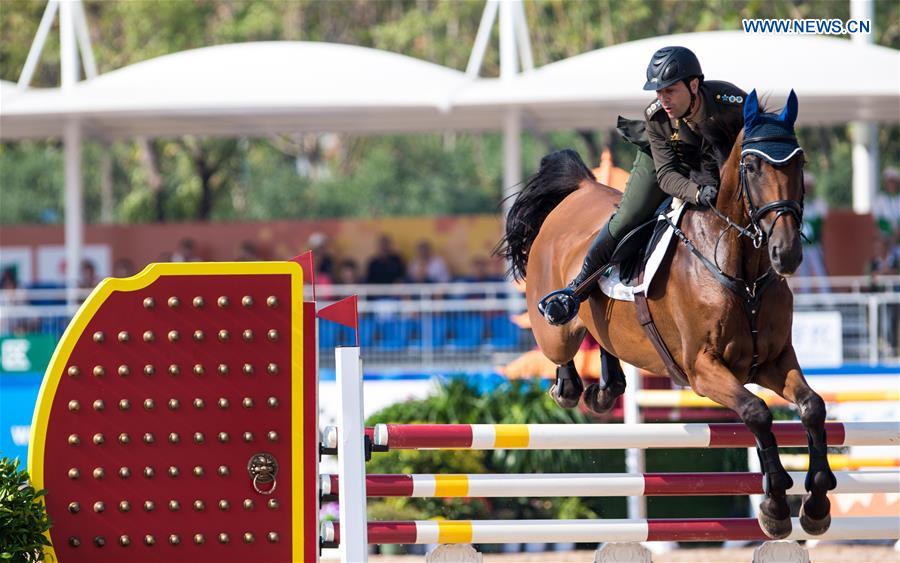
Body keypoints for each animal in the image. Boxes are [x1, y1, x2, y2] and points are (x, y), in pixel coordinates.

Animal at [492, 90, 836, 540]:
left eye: (800, 162)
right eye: (751, 165)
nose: (788, 253)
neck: (741, 270)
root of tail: (581, 188)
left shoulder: (773, 361)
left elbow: (812, 406)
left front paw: (816, 503)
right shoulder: (703, 370)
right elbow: (757, 413)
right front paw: (775, 505)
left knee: (604, 339)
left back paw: (605, 389)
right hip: (556, 330)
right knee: (563, 345)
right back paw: (568, 373)